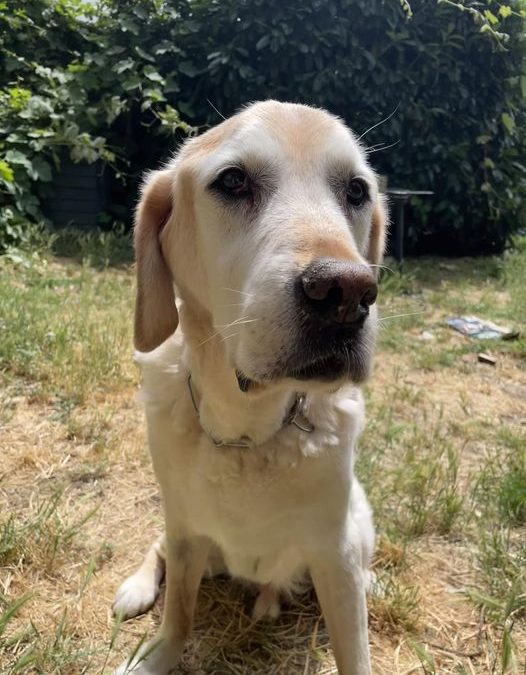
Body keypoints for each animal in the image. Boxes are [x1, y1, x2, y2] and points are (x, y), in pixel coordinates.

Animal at [111, 100, 388, 675]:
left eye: (356, 190)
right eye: (234, 180)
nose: (348, 293)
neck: (249, 430)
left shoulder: (335, 551)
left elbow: (355, 650)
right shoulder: (186, 528)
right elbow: (178, 616)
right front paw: (156, 655)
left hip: (357, 522)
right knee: (159, 548)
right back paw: (138, 587)